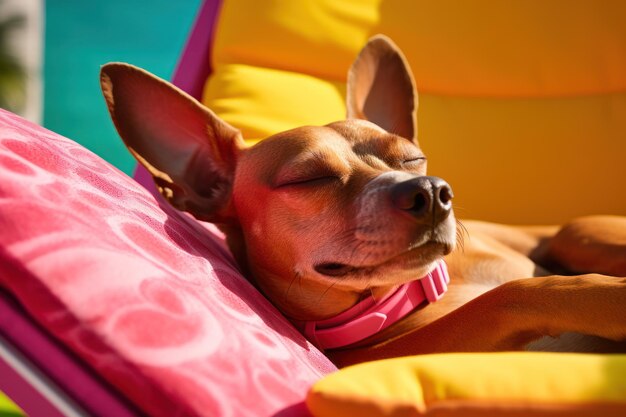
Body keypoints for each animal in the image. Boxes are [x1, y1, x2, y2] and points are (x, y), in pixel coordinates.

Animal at [100, 36, 624, 368]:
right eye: (310, 178)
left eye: (412, 157)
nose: (431, 191)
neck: (408, 297)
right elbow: (510, 295)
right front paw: (608, 298)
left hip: (579, 232)